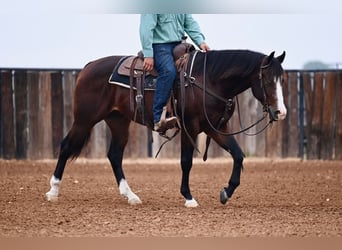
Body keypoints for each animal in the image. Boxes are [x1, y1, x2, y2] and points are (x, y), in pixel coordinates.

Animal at [44, 48, 286, 207]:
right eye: (267, 80)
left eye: (282, 80)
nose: (281, 112)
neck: (208, 79)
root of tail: (89, 66)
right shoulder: (190, 126)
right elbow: (186, 162)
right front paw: (189, 197)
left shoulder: (216, 128)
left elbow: (238, 155)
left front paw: (226, 191)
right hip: (84, 119)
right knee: (66, 146)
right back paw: (53, 190)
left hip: (118, 121)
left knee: (114, 155)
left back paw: (131, 196)